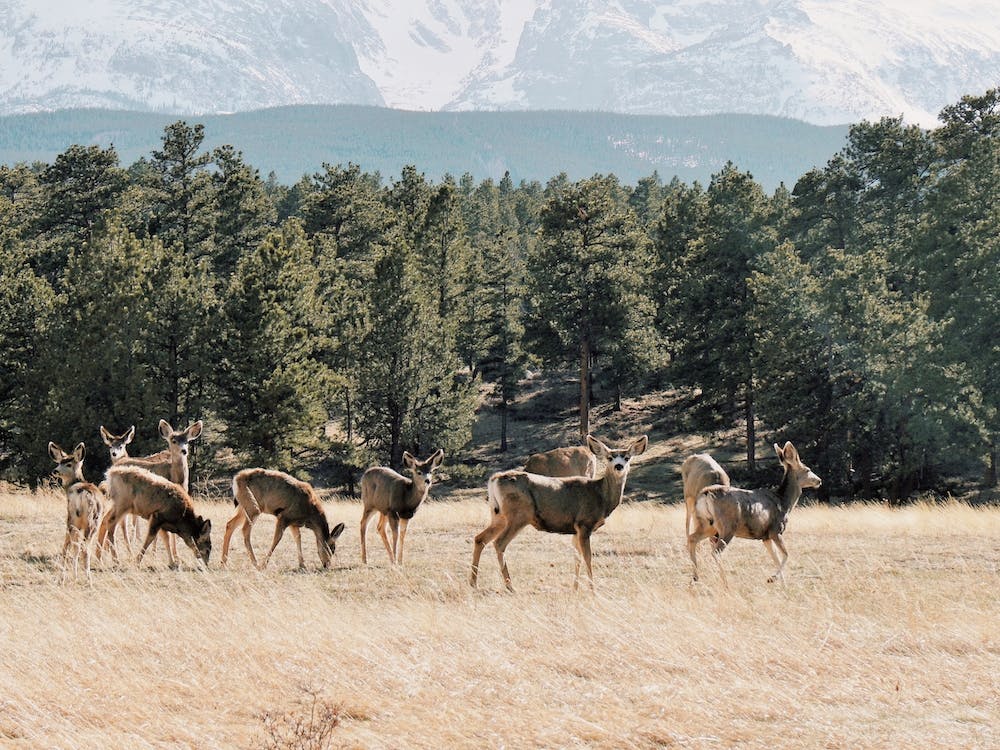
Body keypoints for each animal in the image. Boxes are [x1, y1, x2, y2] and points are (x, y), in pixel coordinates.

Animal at [48, 441, 104, 578]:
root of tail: (86, 495)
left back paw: (73, 576)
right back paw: (88, 578)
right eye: (59, 462)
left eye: (68, 464)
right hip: (93, 522)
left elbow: (68, 546)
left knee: (75, 546)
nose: (55, 470)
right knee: (86, 548)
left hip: (73, 519)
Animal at [470, 434, 648, 592]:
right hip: (519, 515)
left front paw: (575, 588)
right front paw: (592, 590)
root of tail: (495, 479)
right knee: (499, 543)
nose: (619, 466)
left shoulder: (575, 529)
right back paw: (510, 586)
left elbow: (577, 557)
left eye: (627, 457)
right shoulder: (584, 524)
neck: (601, 496)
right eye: (610, 457)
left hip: (498, 516)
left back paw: (474, 583)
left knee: (480, 538)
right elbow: (587, 557)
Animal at [688, 441, 821, 585]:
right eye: (808, 469)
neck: (784, 502)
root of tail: (706, 494)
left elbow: (776, 558)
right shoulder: (775, 530)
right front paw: (771, 578)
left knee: (692, 538)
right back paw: (725, 582)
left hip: (706, 524)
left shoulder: (765, 536)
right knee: (715, 551)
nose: (819, 480)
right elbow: (786, 555)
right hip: (727, 526)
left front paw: (783, 584)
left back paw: (695, 578)